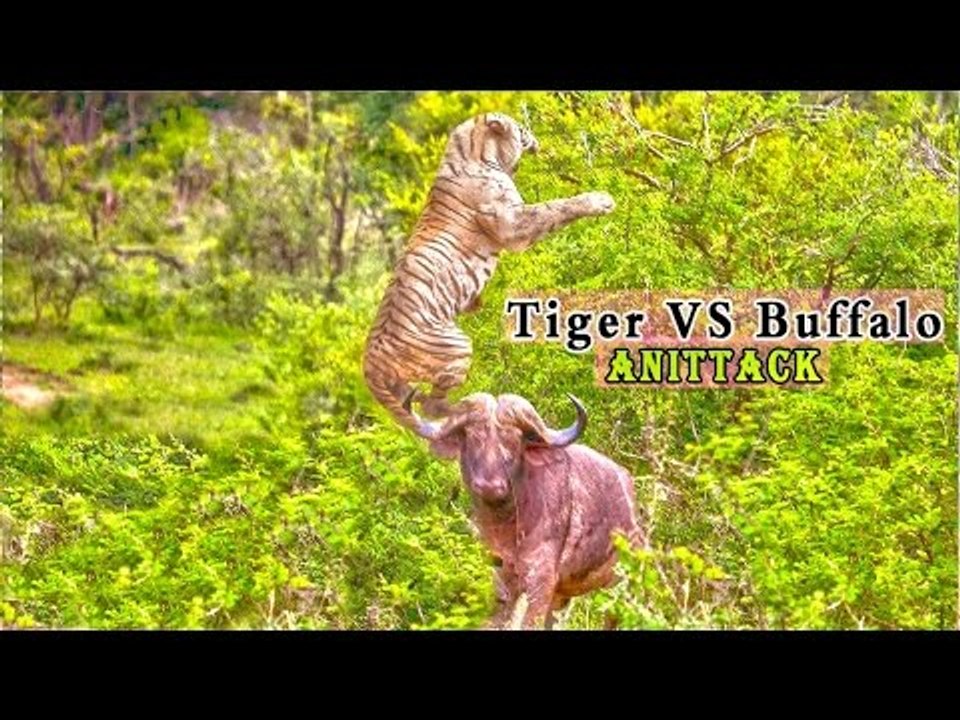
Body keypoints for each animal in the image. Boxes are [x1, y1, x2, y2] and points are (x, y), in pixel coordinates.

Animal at [363, 111, 615, 431]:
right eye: (519, 128)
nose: (531, 133)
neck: (470, 150)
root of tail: (370, 363)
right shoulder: (513, 222)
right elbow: (555, 207)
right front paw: (601, 199)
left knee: (417, 403)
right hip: (456, 346)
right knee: (433, 406)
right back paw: (470, 407)